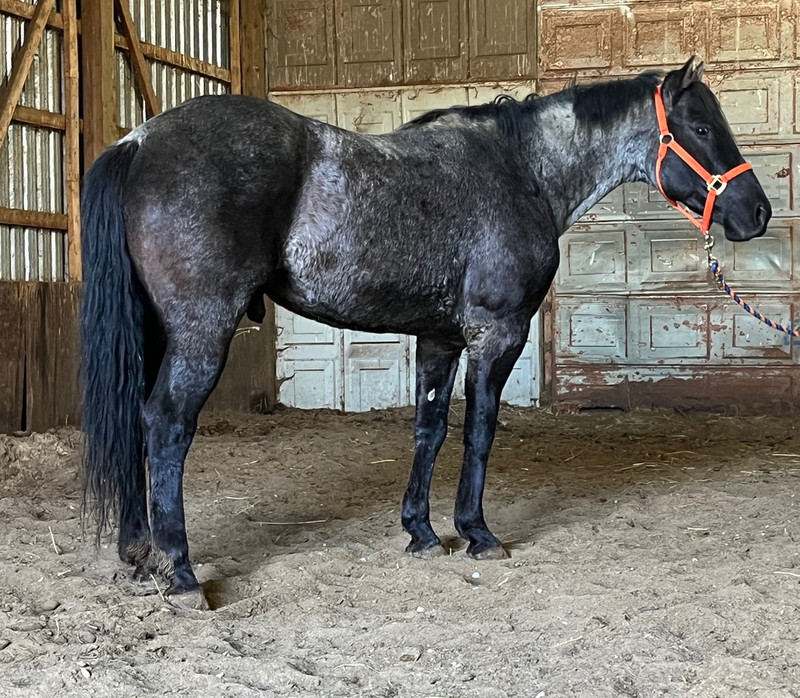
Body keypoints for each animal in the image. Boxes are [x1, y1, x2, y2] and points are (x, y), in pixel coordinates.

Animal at [80, 57, 771, 610]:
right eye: (701, 128)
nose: (757, 213)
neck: (522, 171)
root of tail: (139, 140)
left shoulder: (440, 338)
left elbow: (430, 428)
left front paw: (421, 531)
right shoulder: (497, 334)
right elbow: (479, 430)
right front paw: (477, 533)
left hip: (153, 335)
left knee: (136, 420)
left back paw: (138, 555)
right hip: (201, 333)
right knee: (166, 424)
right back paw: (179, 571)